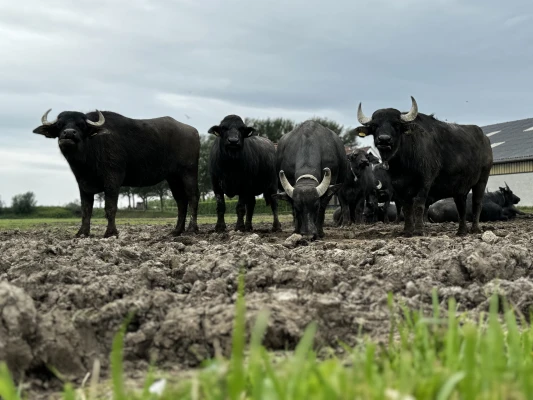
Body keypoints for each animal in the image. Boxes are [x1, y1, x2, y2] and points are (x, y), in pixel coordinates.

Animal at [33, 109, 200, 238]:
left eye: (81, 125)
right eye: (59, 125)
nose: (68, 133)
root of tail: (193, 131)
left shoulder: (113, 180)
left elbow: (110, 207)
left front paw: (110, 232)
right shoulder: (83, 184)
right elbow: (86, 210)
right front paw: (82, 233)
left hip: (188, 172)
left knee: (193, 197)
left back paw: (192, 229)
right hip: (173, 177)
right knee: (181, 201)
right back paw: (176, 231)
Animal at [356, 95, 492, 236]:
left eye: (396, 124)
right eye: (374, 125)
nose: (384, 139)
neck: (402, 164)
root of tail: (485, 138)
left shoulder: (425, 182)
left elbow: (418, 205)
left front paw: (419, 230)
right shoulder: (399, 186)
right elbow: (406, 208)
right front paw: (407, 230)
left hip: (482, 179)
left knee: (477, 202)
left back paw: (475, 229)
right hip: (460, 186)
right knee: (461, 205)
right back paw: (461, 231)